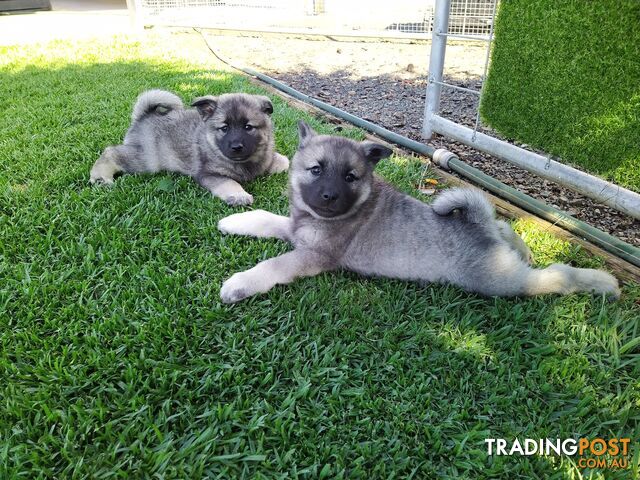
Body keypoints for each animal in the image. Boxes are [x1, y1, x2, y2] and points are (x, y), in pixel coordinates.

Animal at [89, 88, 288, 204]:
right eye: (224, 128)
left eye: (248, 127)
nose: (236, 147)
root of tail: (143, 116)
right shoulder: (208, 174)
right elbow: (229, 182)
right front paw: (239, 195)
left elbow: (280, 161)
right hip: (147, 160)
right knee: (111, 152)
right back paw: (100, 177)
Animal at [216, 122, 620, 304]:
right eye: (316, 170)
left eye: (351, 177)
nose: (329, 196)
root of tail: (477, 226)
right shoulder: (299, 230)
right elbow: (270, 219)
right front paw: (235, 220)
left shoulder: (314, 254)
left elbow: (274, 265)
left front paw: (240, 283)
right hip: (496, 245)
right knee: (505, 226)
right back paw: (524, 248)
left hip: (500, 281)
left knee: (556, 277)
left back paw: (602, 282)